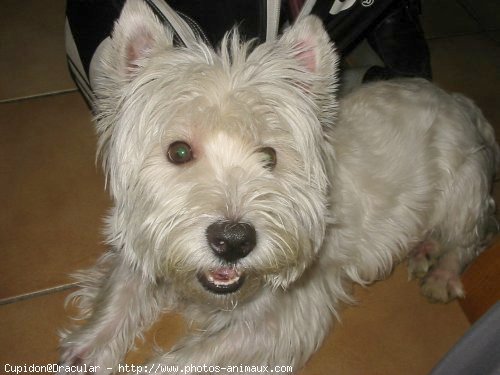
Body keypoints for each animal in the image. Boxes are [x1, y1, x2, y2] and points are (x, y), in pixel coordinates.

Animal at [57, 0, 496, 375]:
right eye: (178, 151)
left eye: (269, 155)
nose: (234, 242)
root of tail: (460, 101)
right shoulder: (145, 240)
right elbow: (118, 297)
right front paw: (83, 352)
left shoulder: (283, 318)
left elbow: (190, 358)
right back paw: (424, 253)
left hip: (464, 187)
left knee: (470, 237)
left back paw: (440, 276)